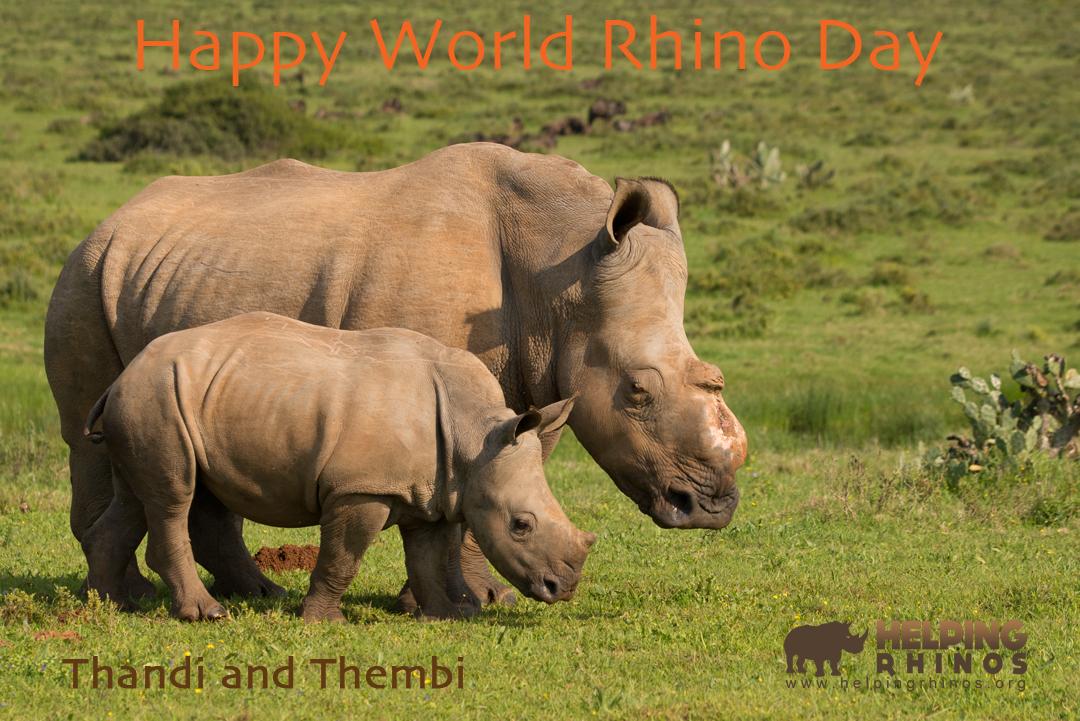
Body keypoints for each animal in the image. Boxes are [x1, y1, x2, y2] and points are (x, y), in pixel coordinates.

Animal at [81, 312, 594, 621]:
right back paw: (206, 615)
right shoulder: (361, 488)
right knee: (174, 495)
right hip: (156, 395)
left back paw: (110, 605)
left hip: (156, 397)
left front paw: (447, 615)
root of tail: (122, 377)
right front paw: (323, 620)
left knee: (138, 496)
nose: (564, 588)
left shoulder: (434, 489)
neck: (475, 433)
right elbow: (344, 557)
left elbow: (428, 557)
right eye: (521, 525)